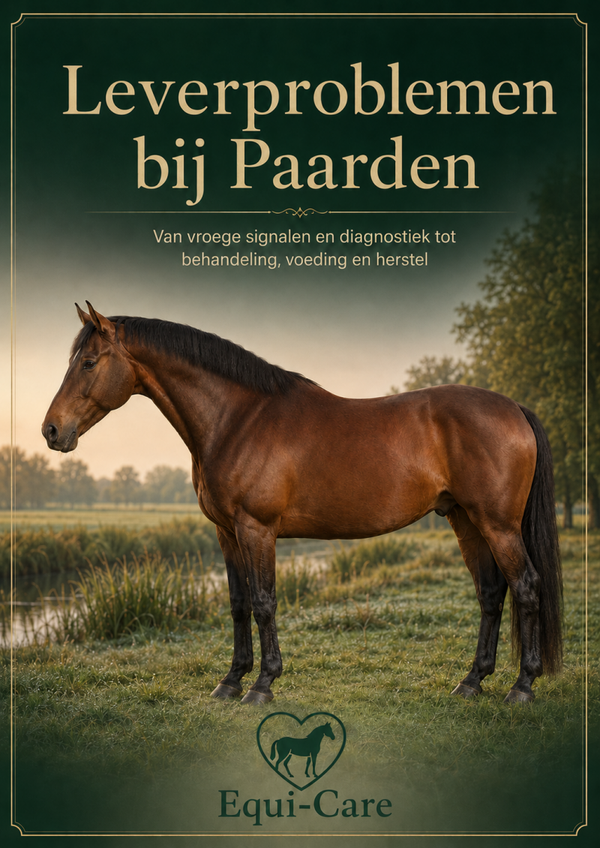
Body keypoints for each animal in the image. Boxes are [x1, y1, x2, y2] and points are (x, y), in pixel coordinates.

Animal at [42, 303, 562, 705]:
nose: (51, 430)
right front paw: (231, 681)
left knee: (527, 587)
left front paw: (263, 685)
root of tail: (514, 408)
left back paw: (522, 686)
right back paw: (471, 681)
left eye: (89, 362)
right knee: (491, 593)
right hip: (465, 521)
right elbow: (237, 603)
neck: (238, 419)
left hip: (497, 524)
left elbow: (264, 602)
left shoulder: (257, 529)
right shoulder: (226, 533)